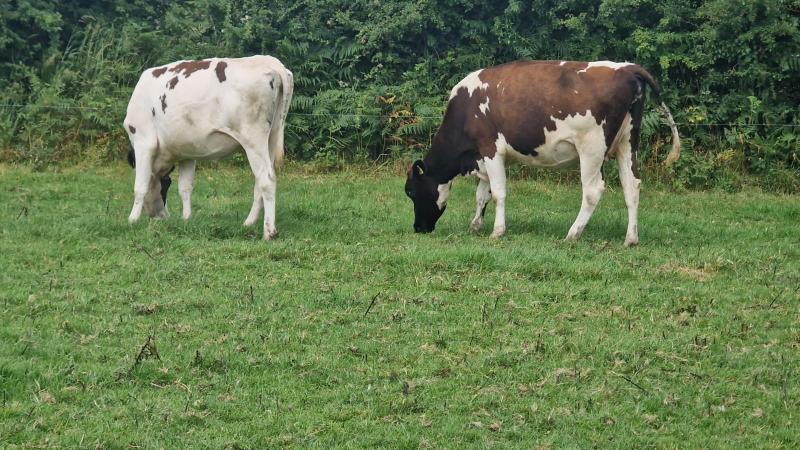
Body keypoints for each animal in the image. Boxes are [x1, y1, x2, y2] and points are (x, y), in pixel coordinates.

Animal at [126, 55, 296, 241]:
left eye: (165, 185)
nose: (162, 216)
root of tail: (271, 61)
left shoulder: (143, 142)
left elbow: (140, 186)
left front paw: (132, 219)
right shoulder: (187, 153)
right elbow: (185, 188)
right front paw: (186, 218)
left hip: (253, 138)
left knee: (267, 180)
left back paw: (268, 232)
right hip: (272, 135)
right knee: (260, 182)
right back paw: (249, 223)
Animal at [406, 59, 680, 246]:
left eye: (410, 192)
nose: (418, 228)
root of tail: (628, 68)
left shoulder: (491, 149)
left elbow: (497, 194)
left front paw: (497, 231)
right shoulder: (483, 155)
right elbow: (482, 194)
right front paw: (476, 226)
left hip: (591, 147)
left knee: (593, 191)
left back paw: (573, 233)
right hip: (627, 142)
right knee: (632, 185)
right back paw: (630, 239)